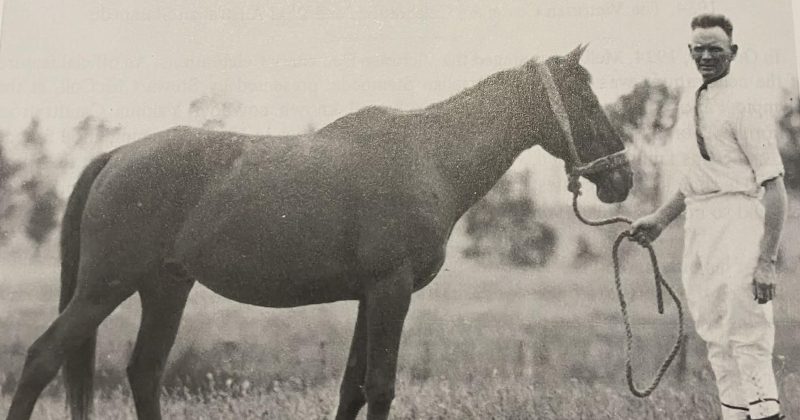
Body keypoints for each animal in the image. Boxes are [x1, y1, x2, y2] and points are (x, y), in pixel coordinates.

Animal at [6, 45, 632, 420]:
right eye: (585, 99)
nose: (622, 178)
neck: (428, 156)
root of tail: (117, 155)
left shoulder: (371, 296)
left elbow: (352, 386)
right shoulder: (390, 290)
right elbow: (379, 385)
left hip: (165, 288)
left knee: (144, 371)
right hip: (104, 288)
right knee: (42, 358)